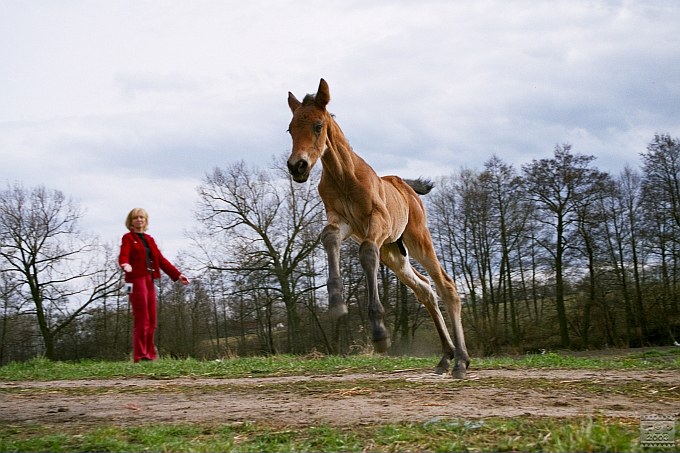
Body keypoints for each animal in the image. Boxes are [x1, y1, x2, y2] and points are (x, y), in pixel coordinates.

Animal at [286, 78, 468, 378]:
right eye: (290, 128)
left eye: (317, 125)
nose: (297, 166)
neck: (344, 177)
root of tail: (406, 187)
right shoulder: (343, 221)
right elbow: (329, 238)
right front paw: (336, 302)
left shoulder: (376, 222)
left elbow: (366, 252)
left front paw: (380, 332)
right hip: (394, 253)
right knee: (425, 289)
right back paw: (446, 357)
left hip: (418, 238)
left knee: (446, 286)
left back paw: (462, 361)